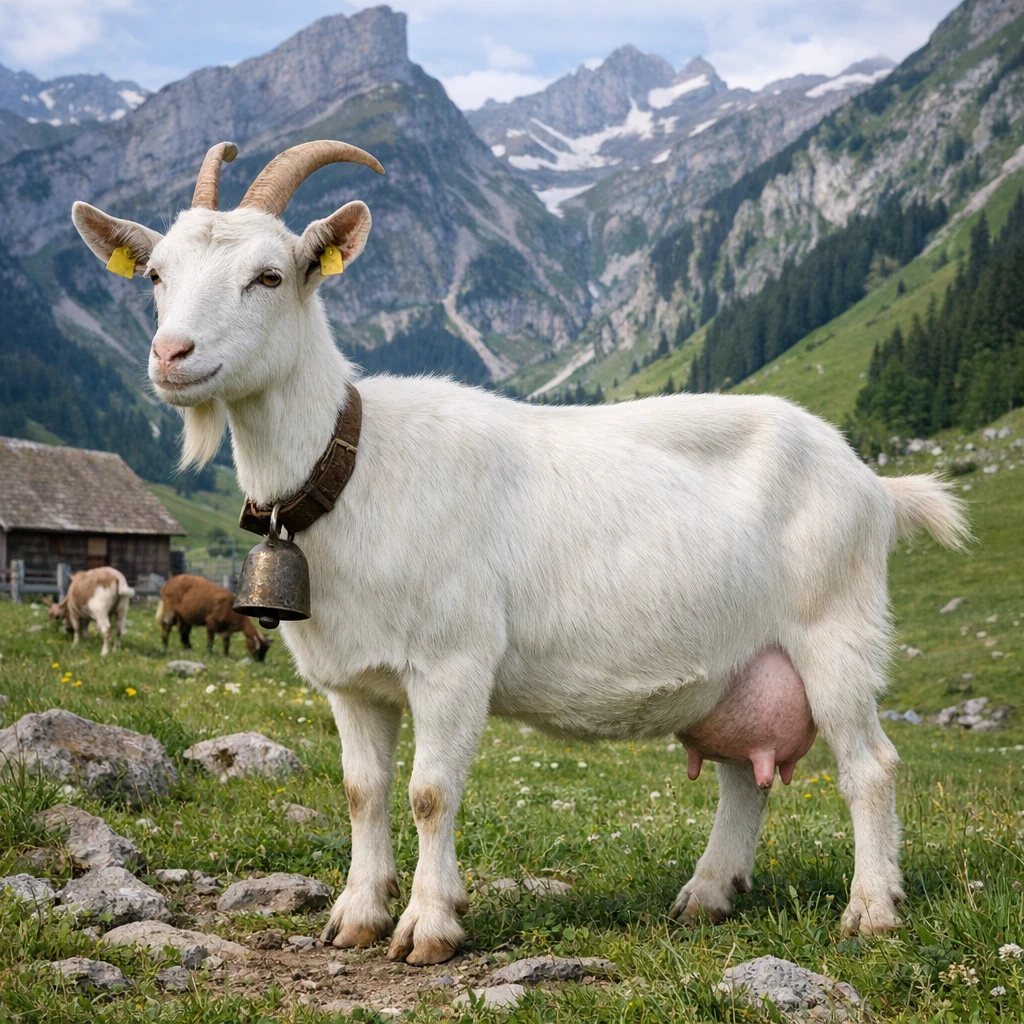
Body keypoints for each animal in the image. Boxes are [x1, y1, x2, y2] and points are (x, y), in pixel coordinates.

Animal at [72, 140, 970, 966]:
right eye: (155, 275)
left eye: (269, 276)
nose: (172, 356)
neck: (353, 465)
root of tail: (872, 482)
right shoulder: (350, 679)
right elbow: (363, 791)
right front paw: (357, 916)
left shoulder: (454, 660)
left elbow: (430, 793)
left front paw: (428, 927)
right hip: (740, 664)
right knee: (743, 775)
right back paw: (708, 895)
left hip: (835, 632)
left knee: (871, 765)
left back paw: (872, 911)